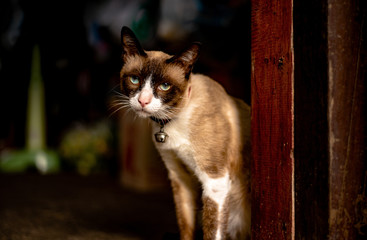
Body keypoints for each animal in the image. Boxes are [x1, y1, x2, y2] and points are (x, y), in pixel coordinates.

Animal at [119, 26, 252, 240]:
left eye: (164, 86)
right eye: (134, 79)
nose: (143, 101)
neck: (171, 121)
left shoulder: (215, 181)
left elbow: (211, 231)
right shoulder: (180, 178)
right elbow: (185, 223)